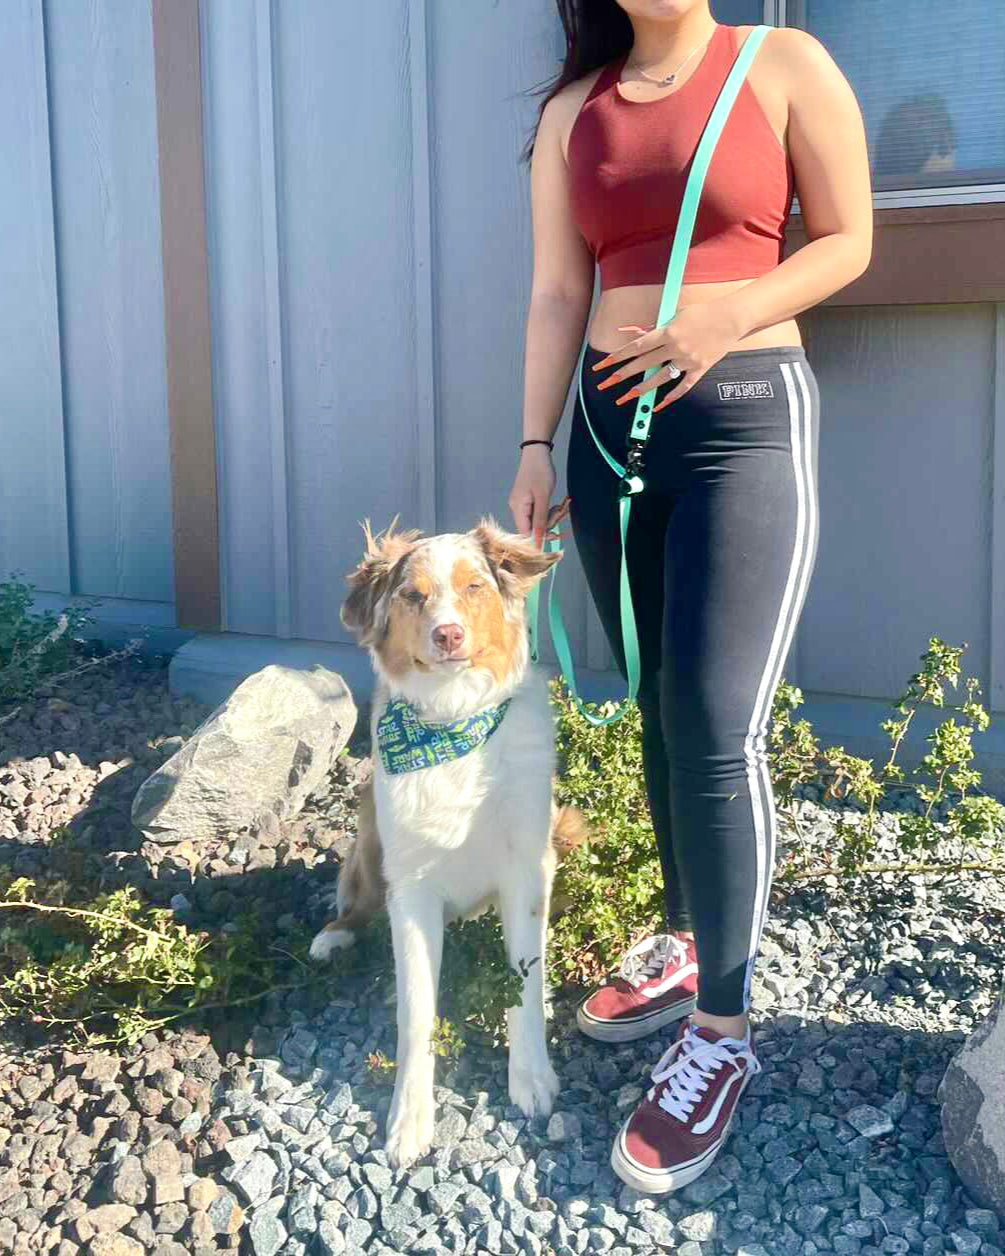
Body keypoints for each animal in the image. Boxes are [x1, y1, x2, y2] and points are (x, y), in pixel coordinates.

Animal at [310, 514, 585, 1160]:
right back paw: (335, 935)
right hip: (370, 836)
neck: (453, 723)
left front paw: (531, 1078)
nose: (449, 635)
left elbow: (525, 983)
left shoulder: (526, 871)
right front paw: (409, 1118)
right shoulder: (410, 888)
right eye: (413, 596)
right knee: (356, 904)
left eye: (474, 587)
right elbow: (415, 1011)